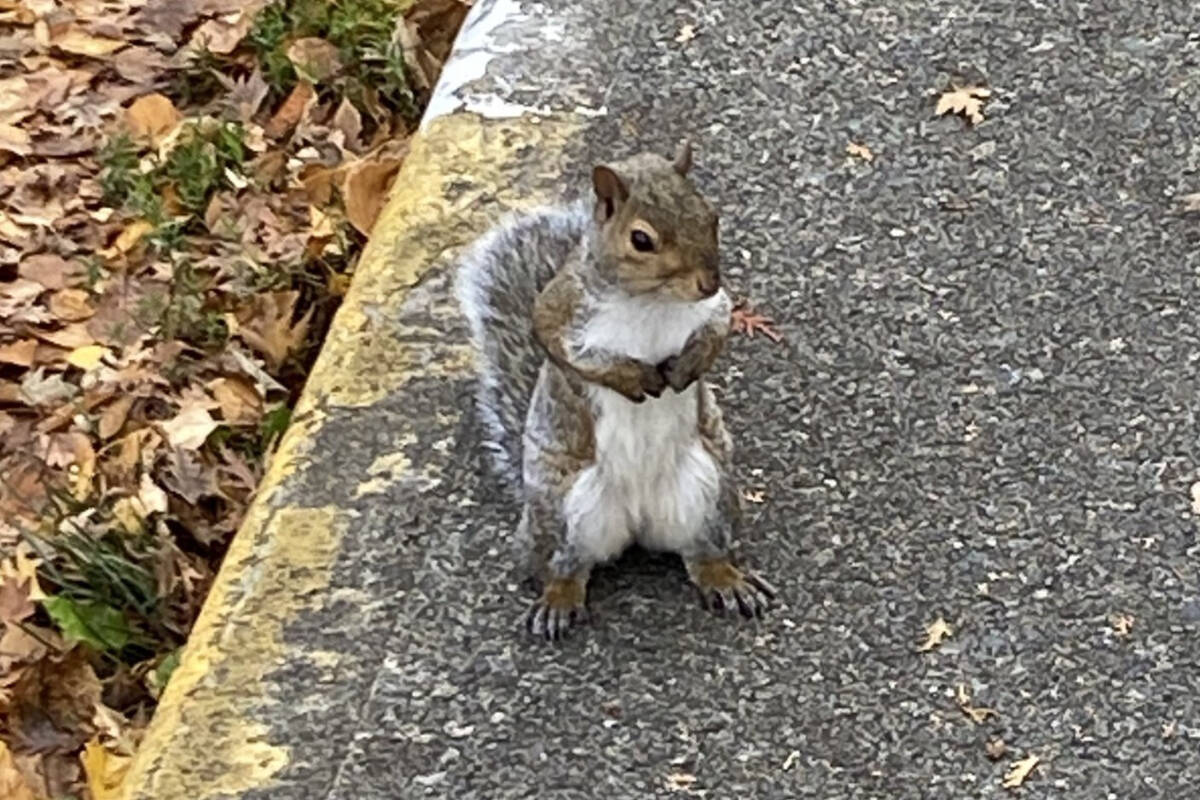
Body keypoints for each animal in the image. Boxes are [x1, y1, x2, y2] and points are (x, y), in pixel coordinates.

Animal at [453, 140, 772, 642]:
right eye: (641, 239)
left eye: (712, 216)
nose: (709, 282)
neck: (651, 301)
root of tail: (638, 523)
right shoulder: (559, 308)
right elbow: (564, 349)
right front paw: (631, 377)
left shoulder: (713, 309)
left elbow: (718, 328)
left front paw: (688, 367)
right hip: (564, 511)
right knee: (565, 567)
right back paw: (558, 600)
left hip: (709, 491)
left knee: (703, 553)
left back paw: (726, 578)